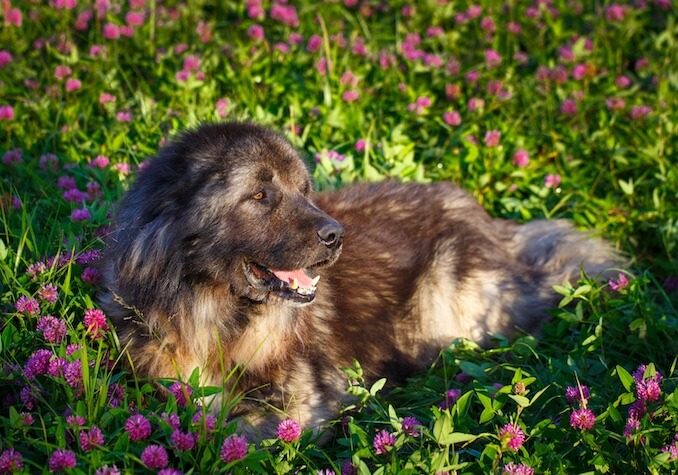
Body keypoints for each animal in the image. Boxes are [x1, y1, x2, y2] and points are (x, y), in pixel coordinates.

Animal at [98, 122, 624, 438]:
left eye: (304, 190)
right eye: (260, 195)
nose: (336, 235)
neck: (216, 315)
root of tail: (495, 226)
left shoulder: (298, 406)